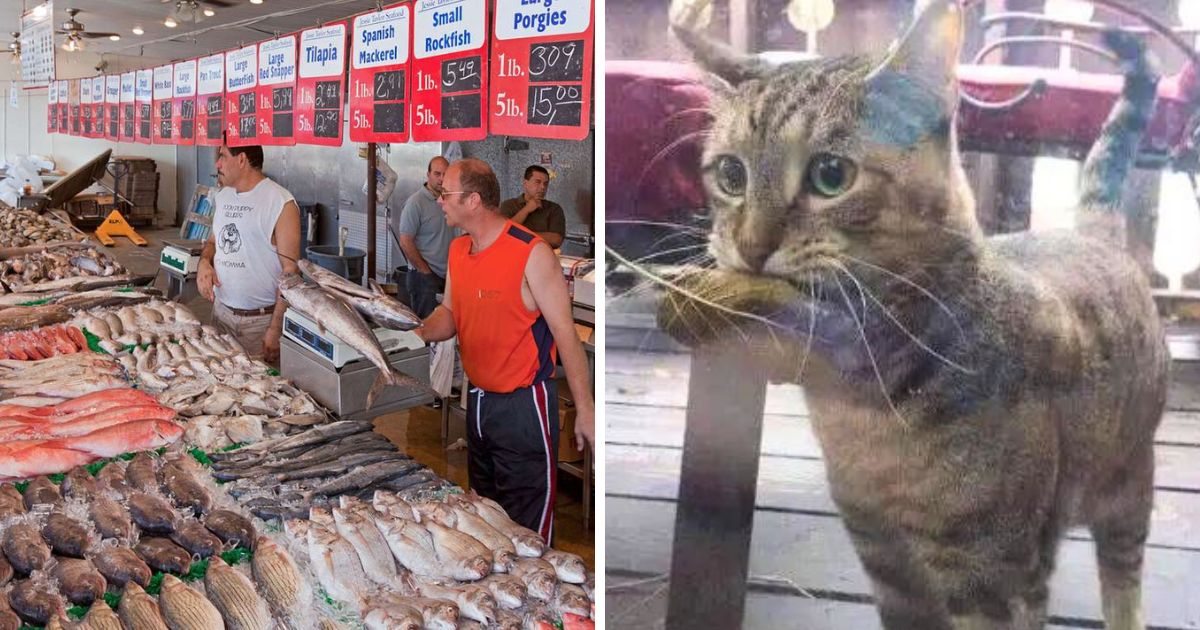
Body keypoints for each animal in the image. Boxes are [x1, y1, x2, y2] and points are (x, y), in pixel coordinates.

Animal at [657, 1, 1171, 628]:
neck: (862, 416)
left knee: (1123, 578)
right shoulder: (889, 565)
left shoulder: (994, 575)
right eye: (731, 175)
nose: (751, 248)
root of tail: (1091, 235)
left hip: (1128, 487)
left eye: (831, 174)